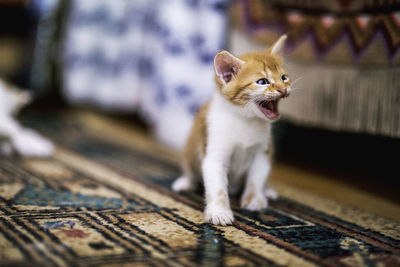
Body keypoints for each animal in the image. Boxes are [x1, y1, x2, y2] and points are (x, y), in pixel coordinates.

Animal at [172, 34, 290, 225]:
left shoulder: (263, 151)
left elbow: (256, 177)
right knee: (190, 167)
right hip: (190, 148)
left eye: (284, 77)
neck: (245, 120)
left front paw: (254, 199)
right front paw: (220, 212)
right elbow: (218, 187)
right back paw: (185, 182)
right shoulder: (214, 153)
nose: (283, 89)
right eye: (262, 82)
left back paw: (267, 190)